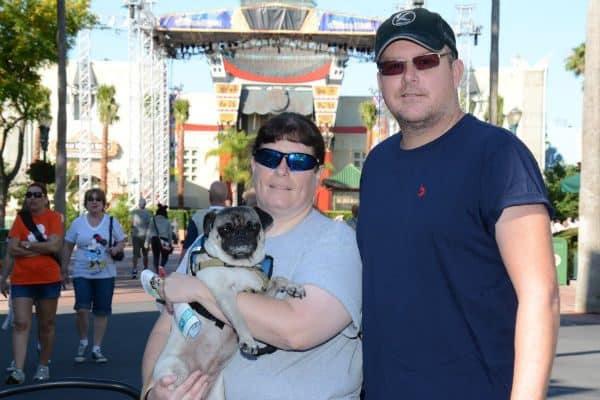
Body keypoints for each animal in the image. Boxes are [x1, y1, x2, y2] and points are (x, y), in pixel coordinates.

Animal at [144, 206, 304, 400]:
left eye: (253, 227)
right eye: (226, 229)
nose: (241, 234)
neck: (239, 266)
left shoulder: (261, 293)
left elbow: (280, 279)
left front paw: (294, 287)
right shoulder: (225, 295)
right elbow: (239, 318)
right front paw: (248, 340)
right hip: (175, 370)